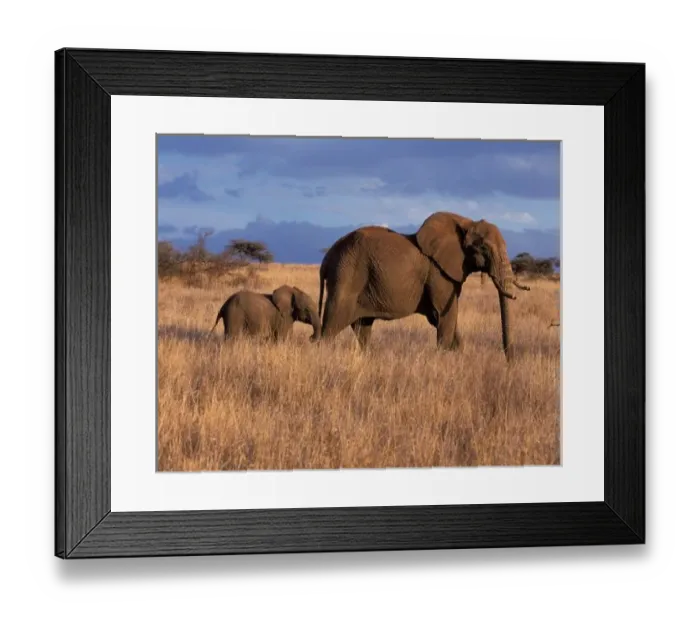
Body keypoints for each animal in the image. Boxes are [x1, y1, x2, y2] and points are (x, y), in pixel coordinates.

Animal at [316, 211, 529, 358]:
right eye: (483, 248)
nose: (510, 362)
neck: (466, 222)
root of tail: (327, 257)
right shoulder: (438, 274)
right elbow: (445, 315)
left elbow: (444, 318)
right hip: (347, 274)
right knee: (331, 326)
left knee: (363, 328)